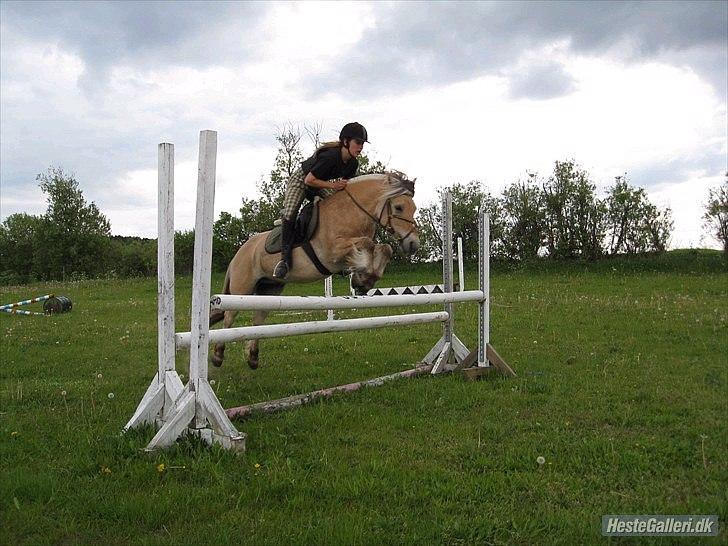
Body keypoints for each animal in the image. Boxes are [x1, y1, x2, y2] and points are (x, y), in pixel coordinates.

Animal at [208, 172, 418, 368]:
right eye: (399, 207)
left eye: (414, 208)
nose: (413, 244)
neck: (349, 212)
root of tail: (239, 253)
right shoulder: (332, 253)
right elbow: (366, 244)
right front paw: (363, 277)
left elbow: (384, 248)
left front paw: (363, 280)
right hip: (242, 287)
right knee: (229, 316)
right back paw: (218, 355)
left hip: (269, 289)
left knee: (257, 320)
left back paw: (252, 358)